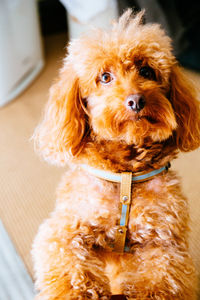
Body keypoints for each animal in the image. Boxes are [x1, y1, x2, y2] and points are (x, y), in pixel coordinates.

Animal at [32, 9, 200, 300]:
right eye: (105, 77)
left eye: (146, 71)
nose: (136, 100)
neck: (125, 174)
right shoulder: (65, 231)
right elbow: (72, 274)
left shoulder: (164, 243)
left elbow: (160, 281)